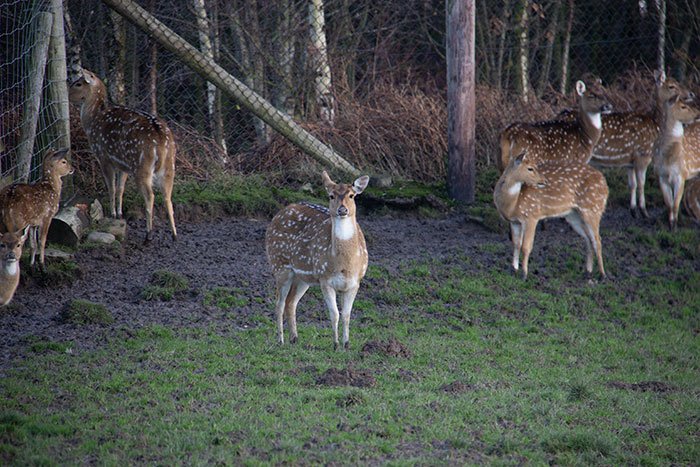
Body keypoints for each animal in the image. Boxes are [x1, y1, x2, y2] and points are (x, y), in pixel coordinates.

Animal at [68, 69, 177, 242]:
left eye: (78, 83)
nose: (68, 94)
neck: (92, 121)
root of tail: (161, 141)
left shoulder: (104, 156)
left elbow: (112, 187)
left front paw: (112, 213)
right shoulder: (123, 165)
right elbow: (120, 188)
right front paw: (120, 214)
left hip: (142, 166)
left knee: (150, 196)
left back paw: (148, 235)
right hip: (169, 166)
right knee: (168, 196)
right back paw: (174, 235)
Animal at [265, 171, 370, 350]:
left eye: (352, 195)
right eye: (331, 195)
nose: (342, 210)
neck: (345, 264)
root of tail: (278, 214)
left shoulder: (355, 282)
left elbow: (346, 314)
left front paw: (347, 344)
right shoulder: (324, 279)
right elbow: (334, 314)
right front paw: (335, 345)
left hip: (302, 277)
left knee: (290, 302)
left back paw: (295, 339)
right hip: (279, 265)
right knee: (279, 303)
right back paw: (281, 340)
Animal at [652, 94, 700, 230]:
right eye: (683, 106)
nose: (697, 113)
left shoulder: (681, 175)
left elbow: (675, 204)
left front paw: (675, 228)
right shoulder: (660, 175)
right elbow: (669, 204)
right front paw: (671, 226)